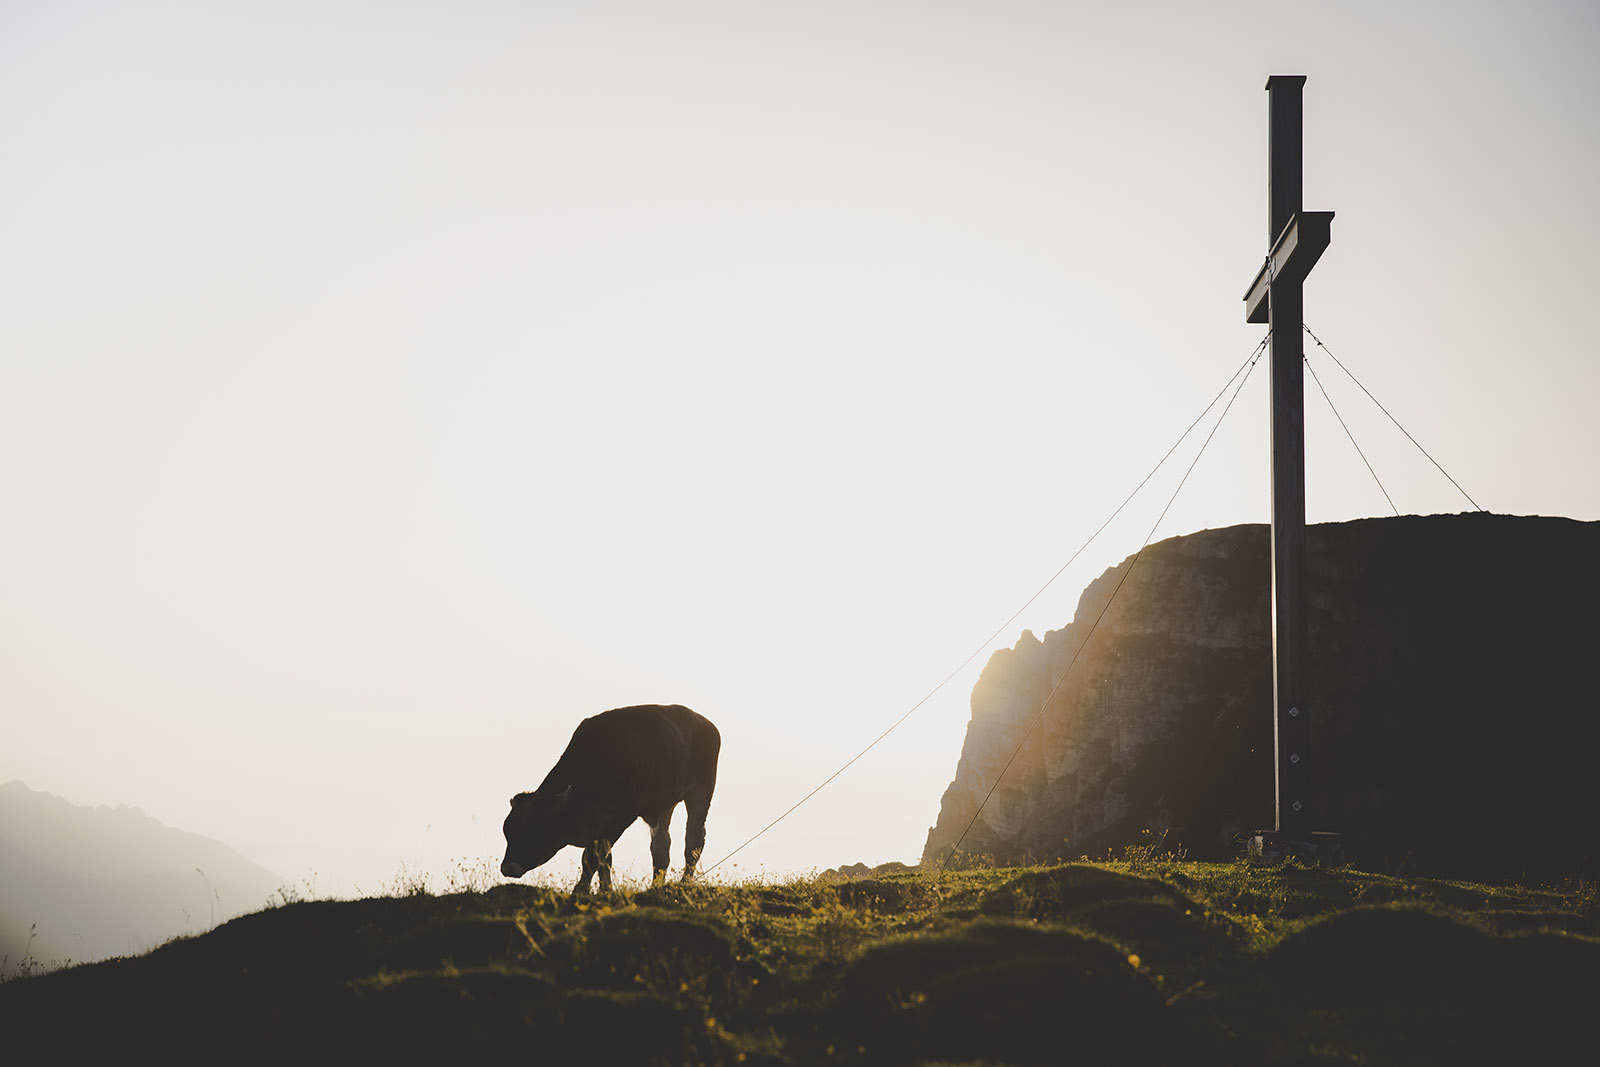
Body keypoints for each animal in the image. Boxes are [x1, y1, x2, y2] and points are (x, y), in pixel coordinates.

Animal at [502, 703, 723, 889]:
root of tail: (703, 722)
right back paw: (655, 887)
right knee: (661, 847)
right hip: (664, 804)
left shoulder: (621, 817)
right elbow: (604, 859)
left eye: (533, 828)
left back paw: (684, 883)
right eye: (508, 831)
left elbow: (592, 857)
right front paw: (605, 890)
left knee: (693, 841)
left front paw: (581, 891)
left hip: (701, 791)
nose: (507, 868)